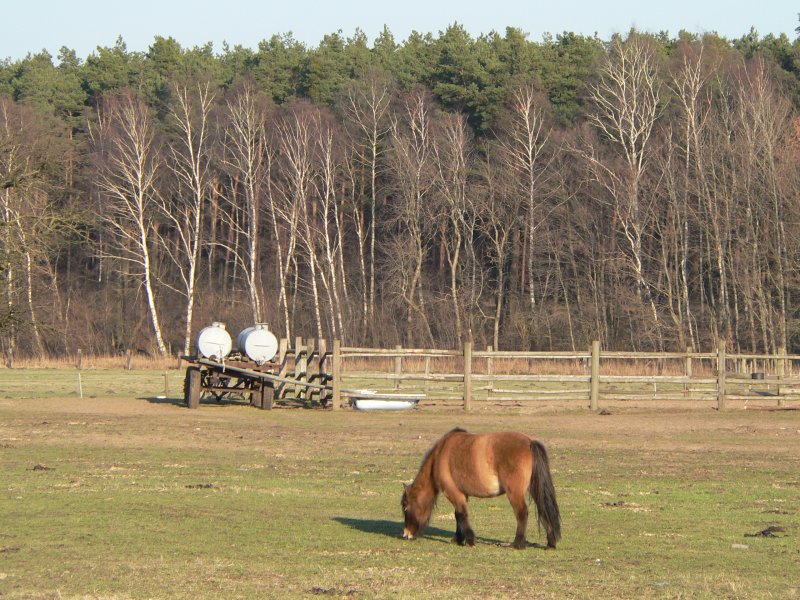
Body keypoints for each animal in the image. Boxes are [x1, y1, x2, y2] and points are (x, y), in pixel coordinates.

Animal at [400, 426, 564, 548]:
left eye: (406, 508)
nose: (406, 534)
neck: (440, 455)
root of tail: (529, 442)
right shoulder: (462, 494)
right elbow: (458, 515)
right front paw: (458, 539)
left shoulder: (453, 492)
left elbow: (461, 514)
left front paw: (469, 540)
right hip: (534, 489)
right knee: (543, 510)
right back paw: (550, 542)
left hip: (514, 493)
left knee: (522, 513)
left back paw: (517, 544)